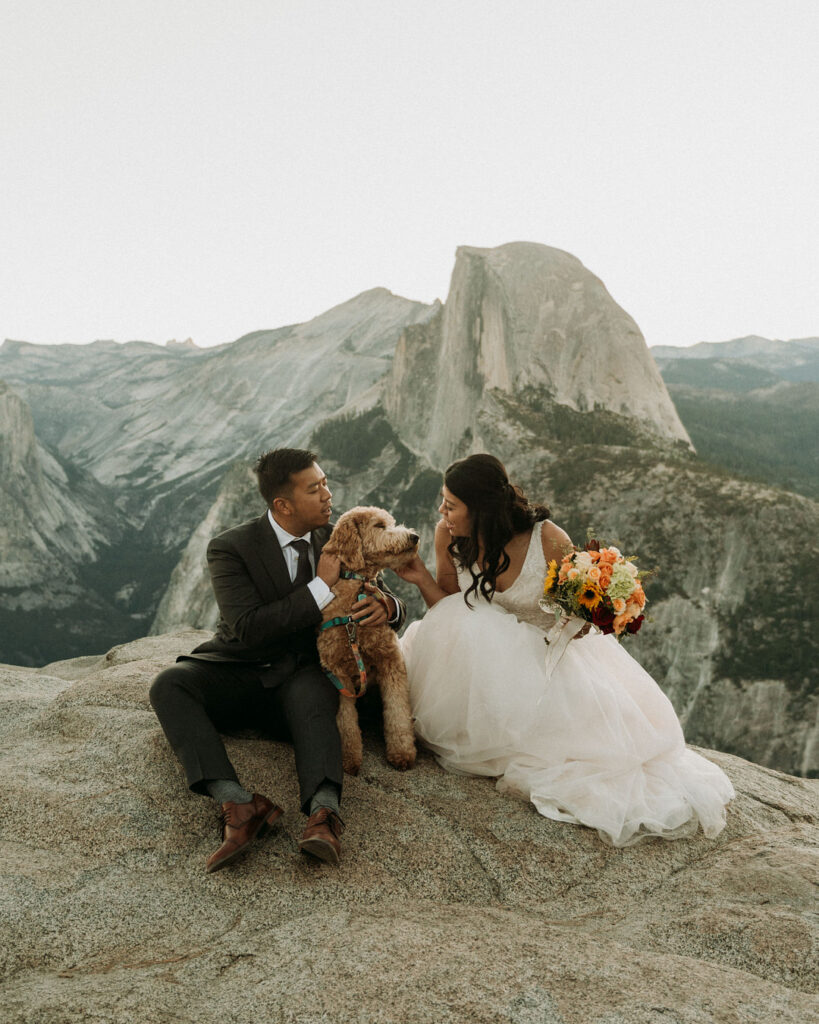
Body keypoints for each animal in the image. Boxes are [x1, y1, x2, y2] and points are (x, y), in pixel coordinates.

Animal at [317, 503, 419, 774]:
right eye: (379, 525)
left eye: (391, 523)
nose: (414, 537)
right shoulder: (337, 672)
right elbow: (345, 721)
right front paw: (349, 759)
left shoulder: (391, 661)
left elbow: (397, 710)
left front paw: (402, 752)